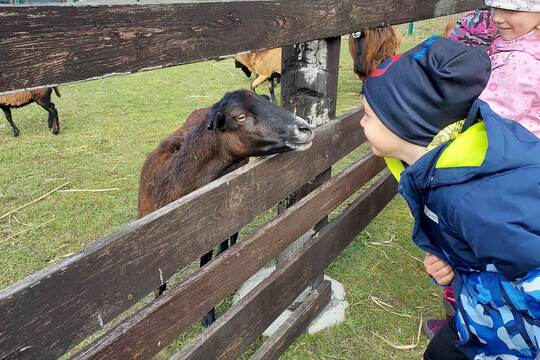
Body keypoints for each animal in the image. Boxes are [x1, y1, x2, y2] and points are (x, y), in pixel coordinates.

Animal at [139, 89, 314, 326]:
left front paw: (208, 319)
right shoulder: (153, 256)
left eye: (266, 100)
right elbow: (158, 289)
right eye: (240, 116)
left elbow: (206, 273)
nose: (305, 128)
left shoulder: (205, 236)